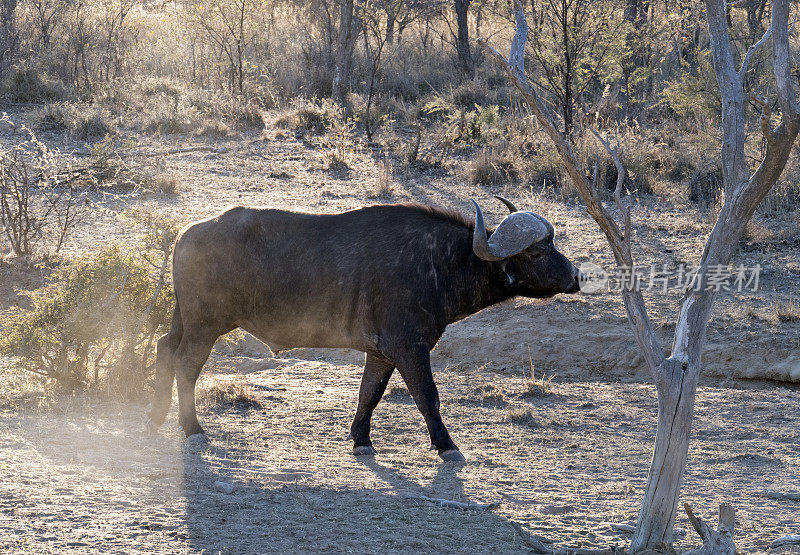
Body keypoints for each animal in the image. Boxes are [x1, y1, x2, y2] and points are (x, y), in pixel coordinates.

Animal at [145, 198, 580, 462]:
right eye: (537, 251)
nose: (577, 275)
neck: (439, 263)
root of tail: (186, 232)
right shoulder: (410, 347)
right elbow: (427, 396)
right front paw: (446, 444)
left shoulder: (382, 352)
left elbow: (369, 393)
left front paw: (361, 440)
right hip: (205, 326)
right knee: (186, 365)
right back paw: (192, 428)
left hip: (184, 321)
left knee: (164, 349)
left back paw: (157, 416)